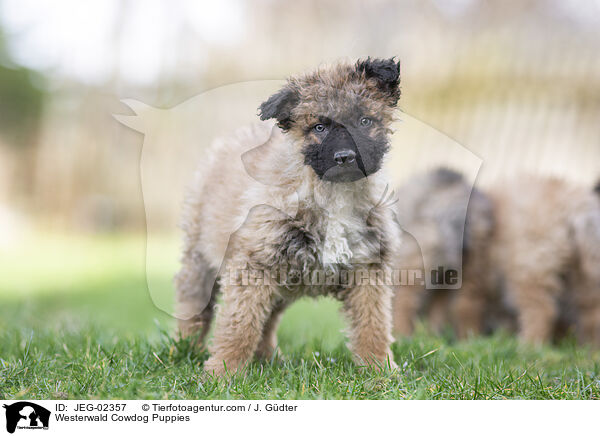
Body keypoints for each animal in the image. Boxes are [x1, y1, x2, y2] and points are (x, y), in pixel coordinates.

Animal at [176, 55, 406, 374]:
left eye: (364, 121)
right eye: (319, 127)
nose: (345, 158)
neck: (332, 194)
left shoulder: (368, 269)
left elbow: (373, 325)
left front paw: (379, 370)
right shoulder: (254, 264)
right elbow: (239, 324)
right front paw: (223, 371)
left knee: (267, 318)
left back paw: (267, 358)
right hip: (200, 261)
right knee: (194, 309)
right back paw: (184, 350)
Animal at [392, 169, 494, 338]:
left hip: (418, 260)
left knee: (405, 300)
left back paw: (402, 335)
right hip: (475, 261)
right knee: (466, 304)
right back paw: (467, 337)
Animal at [490, 175, 600, 346]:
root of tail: (573, 202)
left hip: (529, 266)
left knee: (542, 310)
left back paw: (527, 345)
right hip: (584, 273)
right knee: (591, 312)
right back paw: (589, 347)